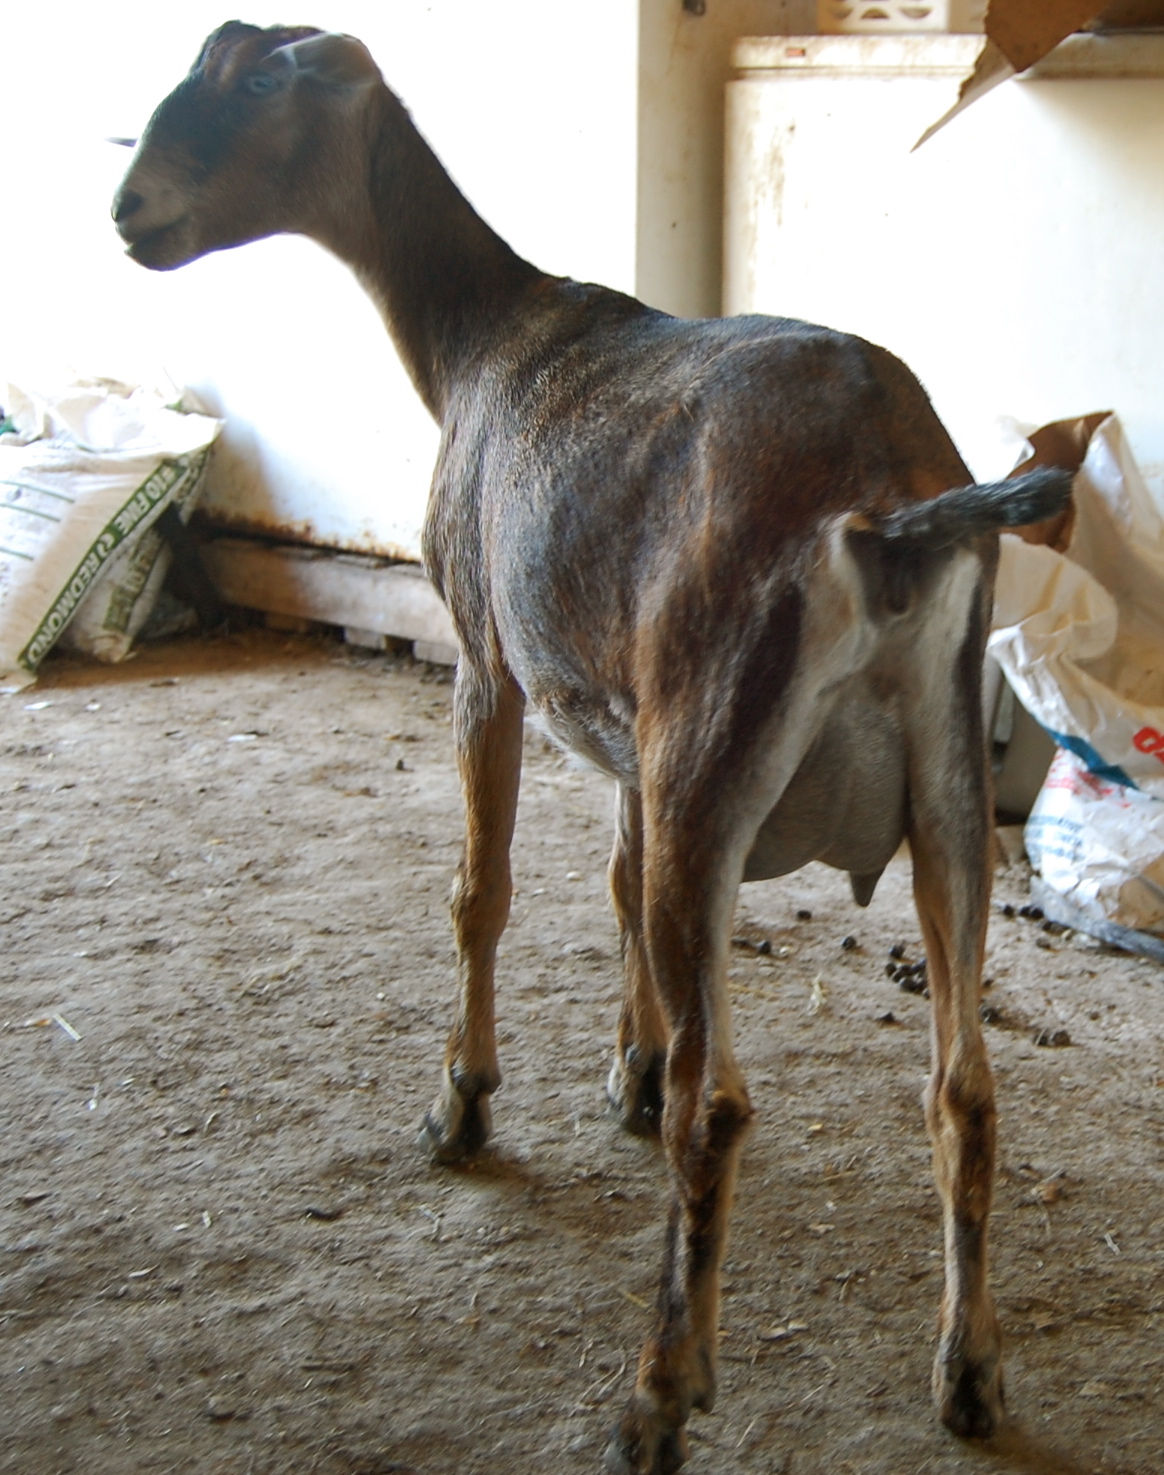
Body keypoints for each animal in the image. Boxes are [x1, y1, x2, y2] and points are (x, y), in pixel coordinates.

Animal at [113, 25, 1071, 1473]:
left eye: (250, 81)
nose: (128, 213)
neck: (484, 336)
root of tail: (892, 508)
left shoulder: (484, 654)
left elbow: (482, 889)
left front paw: (462, 1104)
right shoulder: (623, 724)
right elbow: (613, 888)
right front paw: (625, 1062)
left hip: (713, 754)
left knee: (719, 1106)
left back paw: (657, 1392)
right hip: (938, 779)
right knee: (963, 1089)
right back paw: (967, 1373)